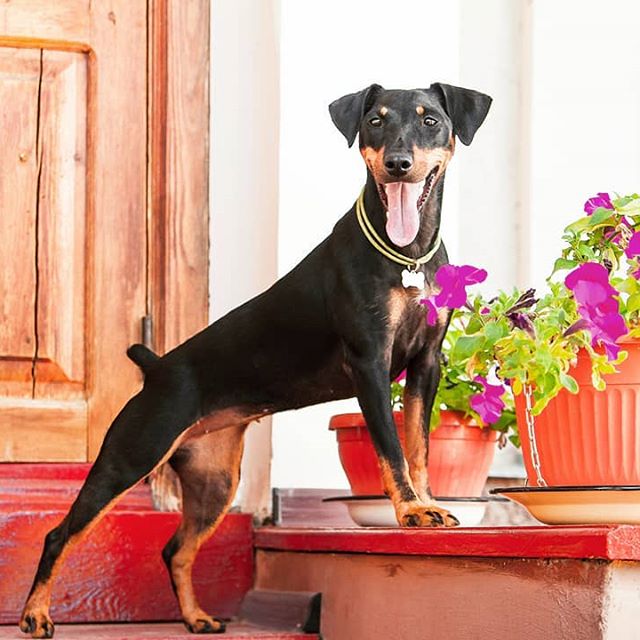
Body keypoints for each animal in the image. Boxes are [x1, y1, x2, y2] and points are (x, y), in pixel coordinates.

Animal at [20, 82, 490, 636]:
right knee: (61, 534)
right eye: (375, 120)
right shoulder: (369, 363)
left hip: (215, 480)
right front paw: (411, 513)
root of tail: (157, 368)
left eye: (431, 120)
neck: (407, 256)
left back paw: (197, 617)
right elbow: (392, 450)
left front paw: (429, 505)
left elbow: (418, 447)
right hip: (130, 454)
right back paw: (35, 614)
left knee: (176, 549)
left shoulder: (425, 363)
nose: (399, 164)